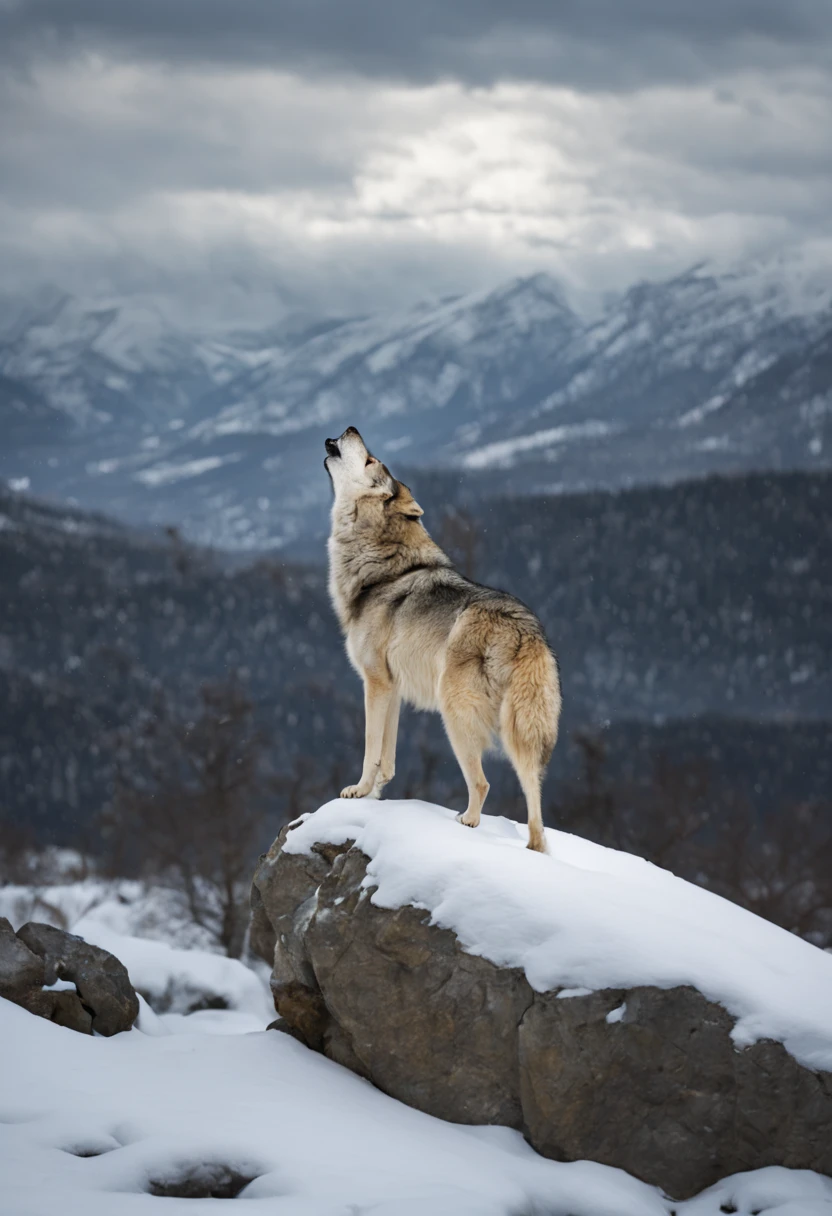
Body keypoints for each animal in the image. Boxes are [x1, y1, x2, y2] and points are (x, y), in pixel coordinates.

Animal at [321, 428, 561, 856]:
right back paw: (533, 848)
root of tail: (524, 631)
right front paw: (376, 797)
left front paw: (358, 792)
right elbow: (388, 757)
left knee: (481, 782)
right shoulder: (393, 689)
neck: (379, 567)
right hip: (523, 734)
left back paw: (466, 822)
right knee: (535, 810)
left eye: (370, 460)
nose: (350, 430)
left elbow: (370, 749)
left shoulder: (374, 683)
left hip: (454, 714)